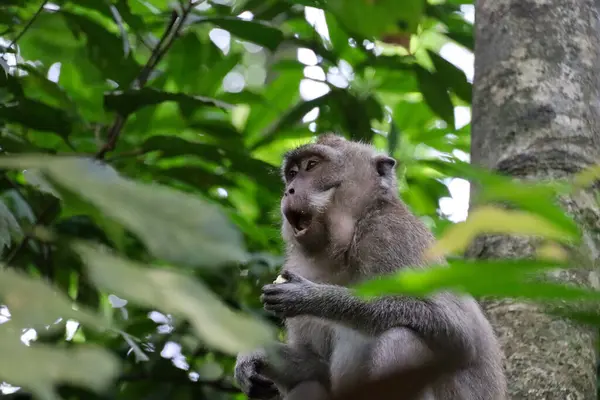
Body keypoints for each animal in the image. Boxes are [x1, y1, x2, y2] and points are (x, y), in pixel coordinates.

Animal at [234, 135, 506, 400]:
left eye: (311, 165)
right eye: (292, 173)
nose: (289, 191)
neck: (345, 246)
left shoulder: (390, 234)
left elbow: (456, 328)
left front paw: (311, 297)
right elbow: (317, 367)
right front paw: (256, 355)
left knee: (402, 340)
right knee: (308, 385)